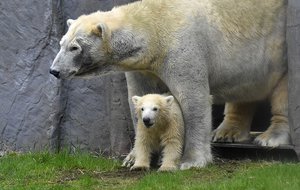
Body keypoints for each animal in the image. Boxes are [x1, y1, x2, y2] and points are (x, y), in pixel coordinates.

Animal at [50, 0, 290, 169]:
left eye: (75, 47)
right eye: (61, 43)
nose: (54, 70)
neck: (152, 28)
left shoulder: (181, 47)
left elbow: (194, 99)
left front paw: (191, 161)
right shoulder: (143, 66)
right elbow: (140, 95)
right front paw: (132, 157)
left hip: (278, 48)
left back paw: (270, 138)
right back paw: (226, 133)